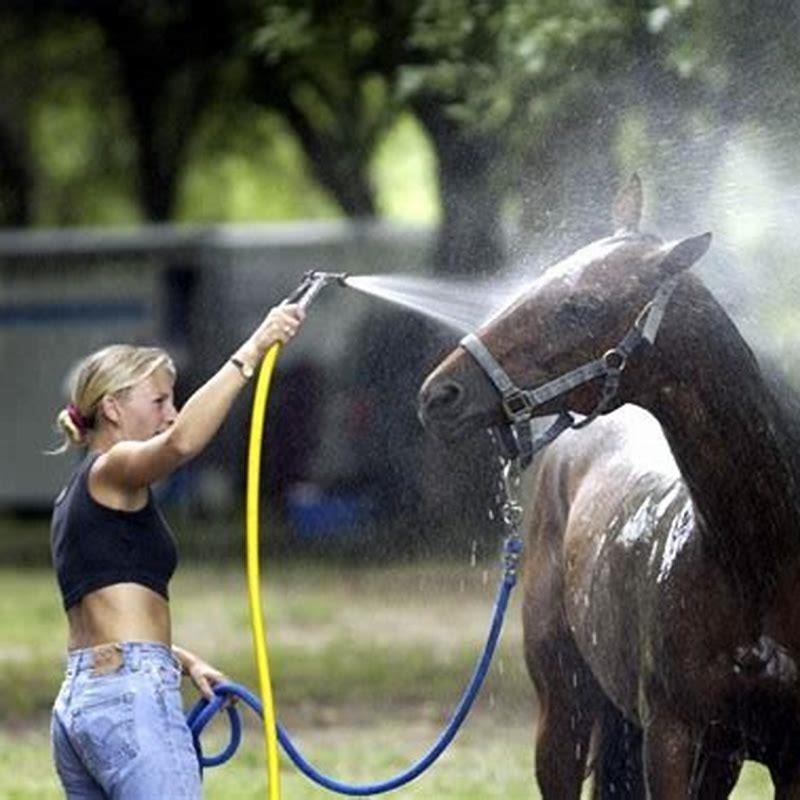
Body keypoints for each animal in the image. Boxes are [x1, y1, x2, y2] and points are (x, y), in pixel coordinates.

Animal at [418, 176, 800, 798]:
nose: (439, 395)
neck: (758, 563)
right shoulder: (672, 736)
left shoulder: (779, 754)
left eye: (582, 306)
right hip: (564, 715)